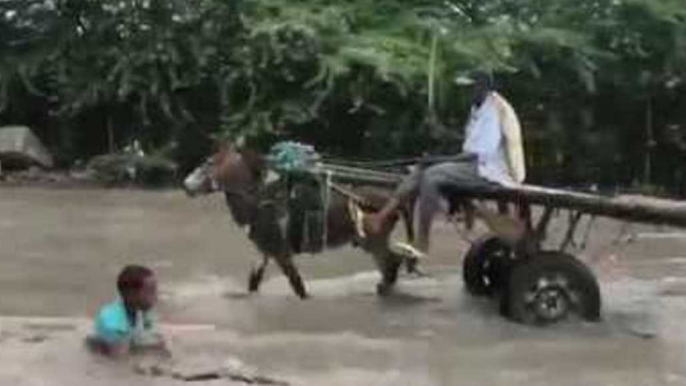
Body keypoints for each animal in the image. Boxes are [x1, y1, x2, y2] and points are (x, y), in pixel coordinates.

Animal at [183, 143, 420, 300]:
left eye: (208, 162)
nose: (185, 185)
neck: (259, 196)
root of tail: (395, 192)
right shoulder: (264, 250)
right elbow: (253, 283)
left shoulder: (281, 251)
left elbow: (297, 285)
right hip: (369, 241)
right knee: (392, 265)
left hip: (373, 239)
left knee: (392, 264)